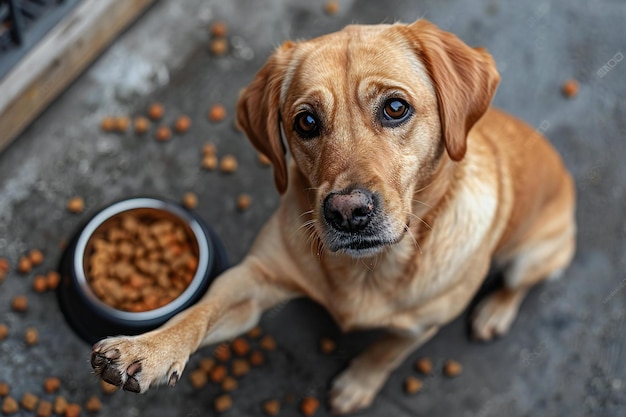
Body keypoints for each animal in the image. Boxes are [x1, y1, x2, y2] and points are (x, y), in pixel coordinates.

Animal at [90, 19, 572, 412]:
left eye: (395, 108)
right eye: (305, 122)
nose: (348, 212)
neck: (368, 270)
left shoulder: (419, 328)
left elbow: (384, 353)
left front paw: (357, 385)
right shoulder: (253, 280)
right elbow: (199, 311)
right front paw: (148, 349)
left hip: (533, 255)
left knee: (519, 284)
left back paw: (495, 312)